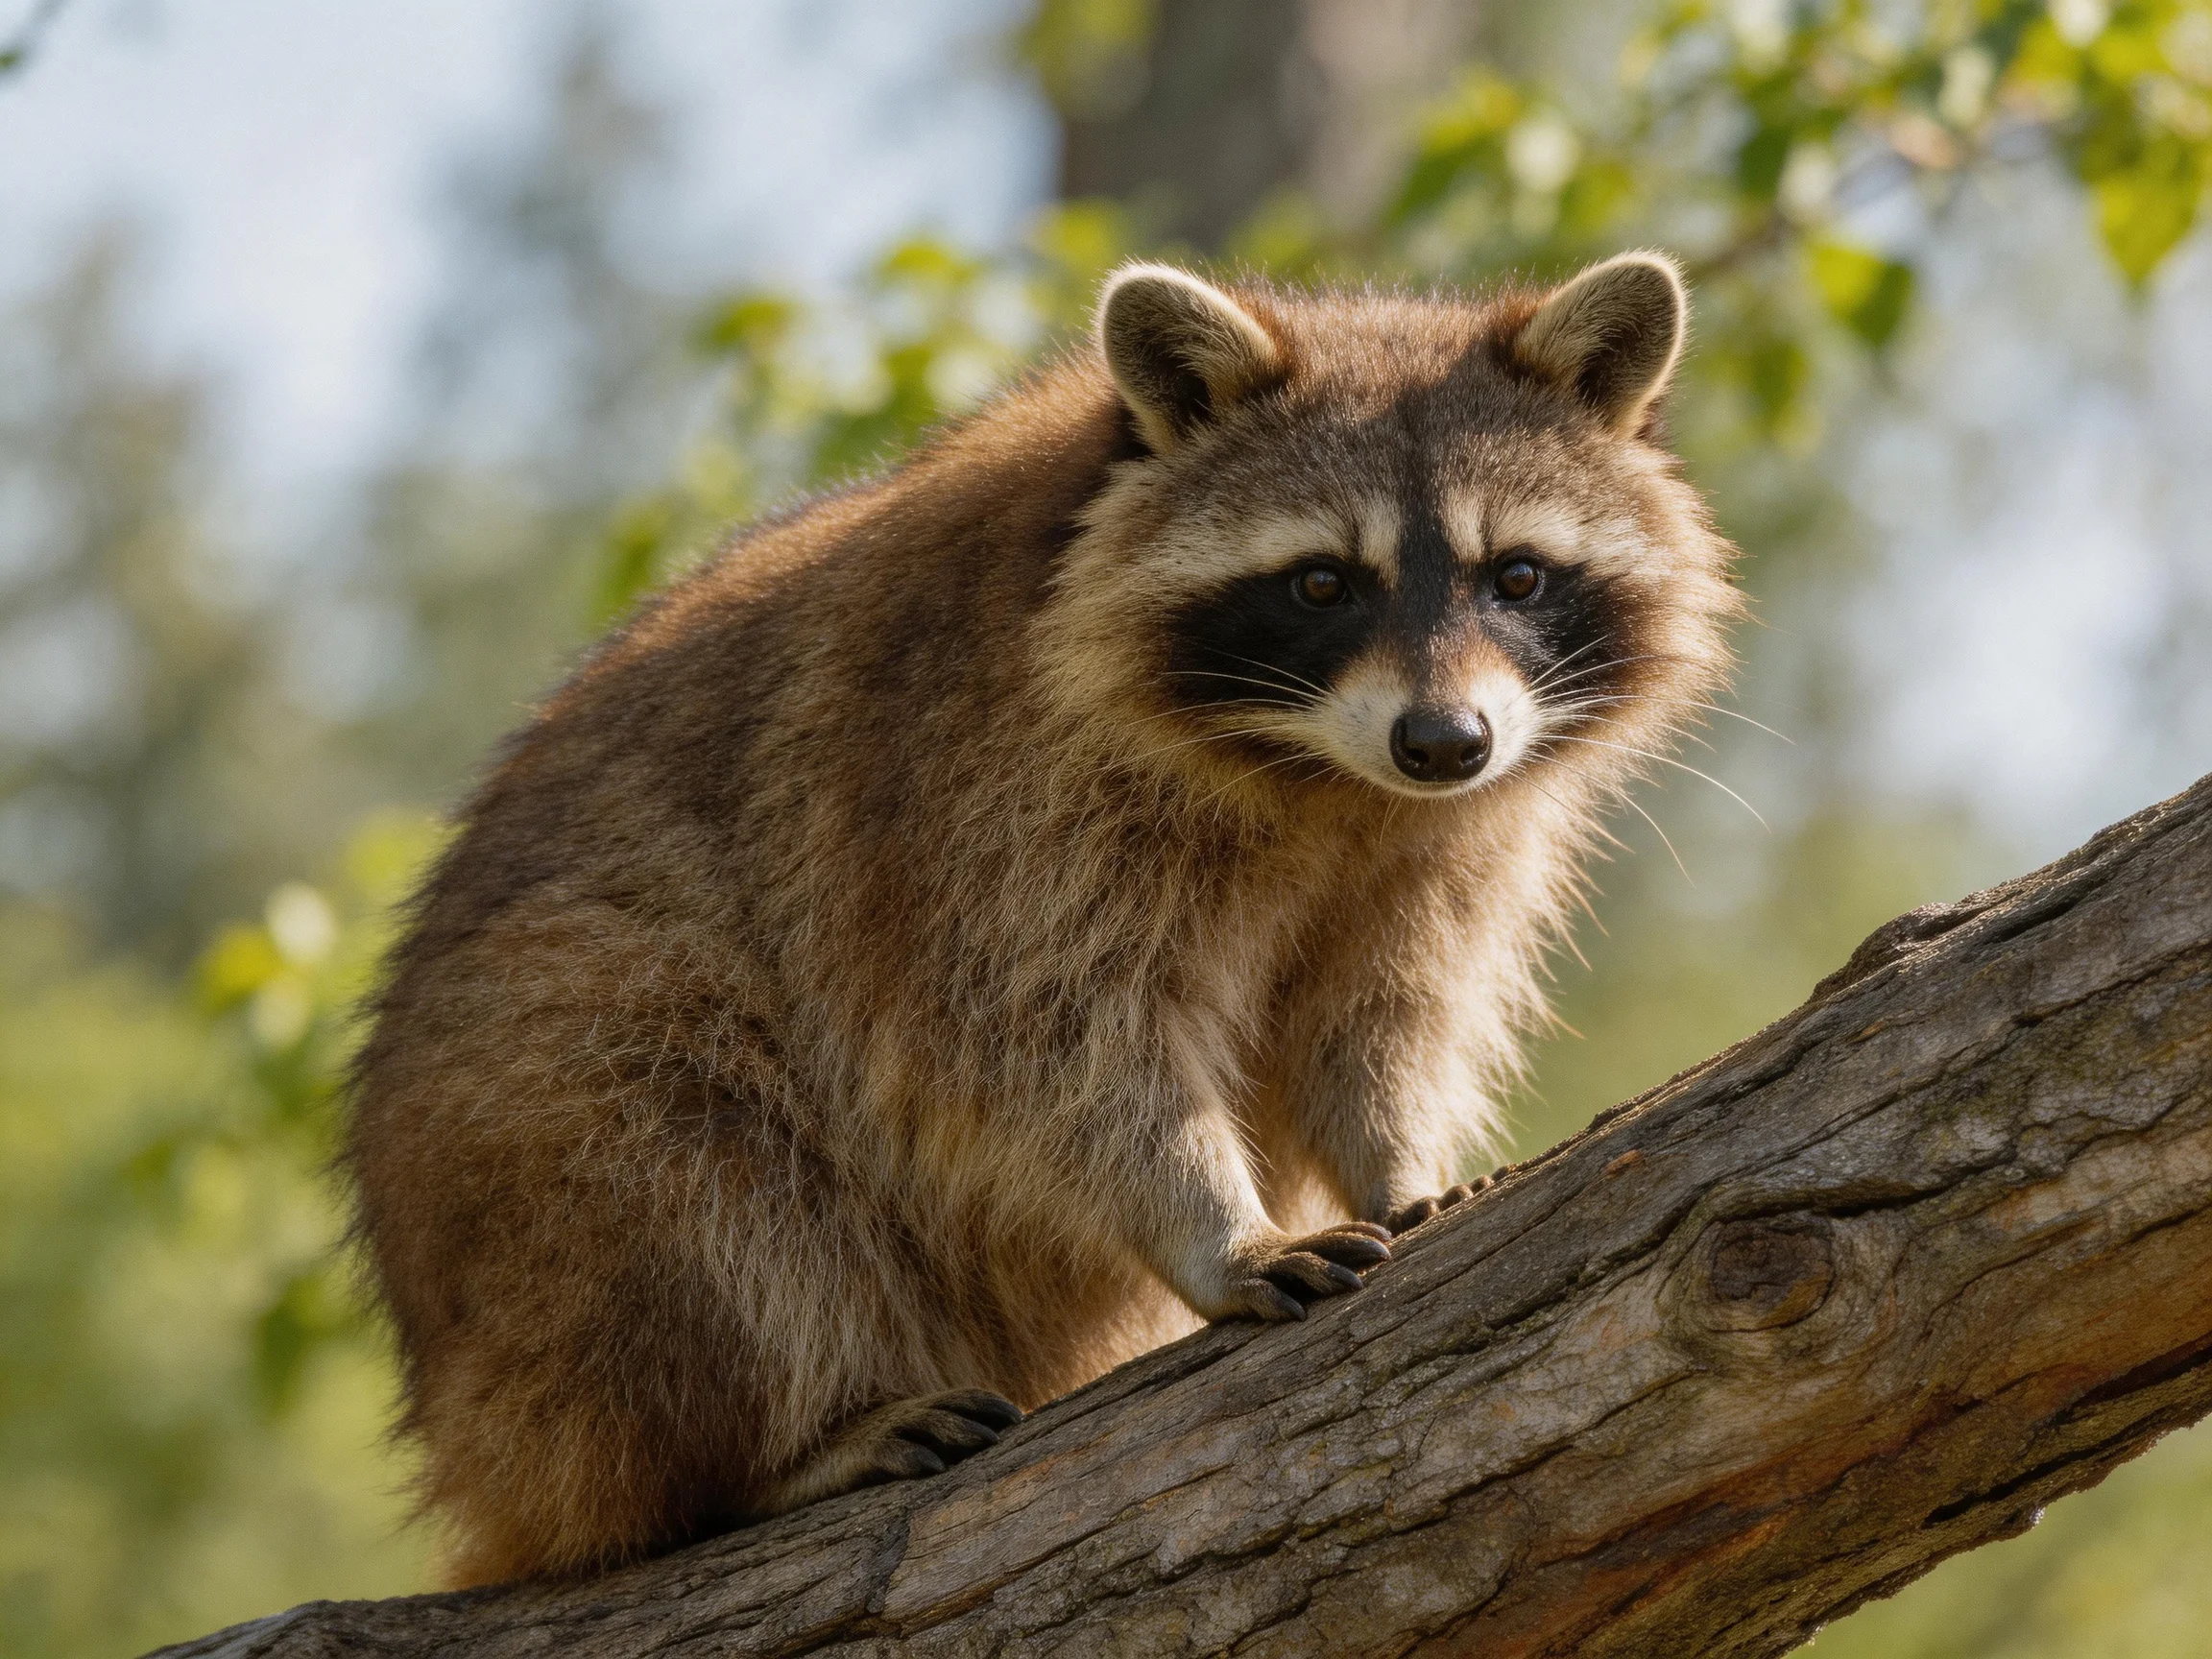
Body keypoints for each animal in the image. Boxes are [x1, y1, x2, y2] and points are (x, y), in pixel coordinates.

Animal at [345, 252, 1740, 1587]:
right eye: (1321, 584)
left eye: (1519, 576)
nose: (1444, 742)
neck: (1329, 779)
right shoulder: (969, 805)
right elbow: (1047, 1046)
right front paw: (1214, 1224)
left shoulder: (1444, 845)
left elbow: (1378, 1015)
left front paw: (1395, 1159)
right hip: (536, 1158)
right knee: (683, 1175)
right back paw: (775, 1451)